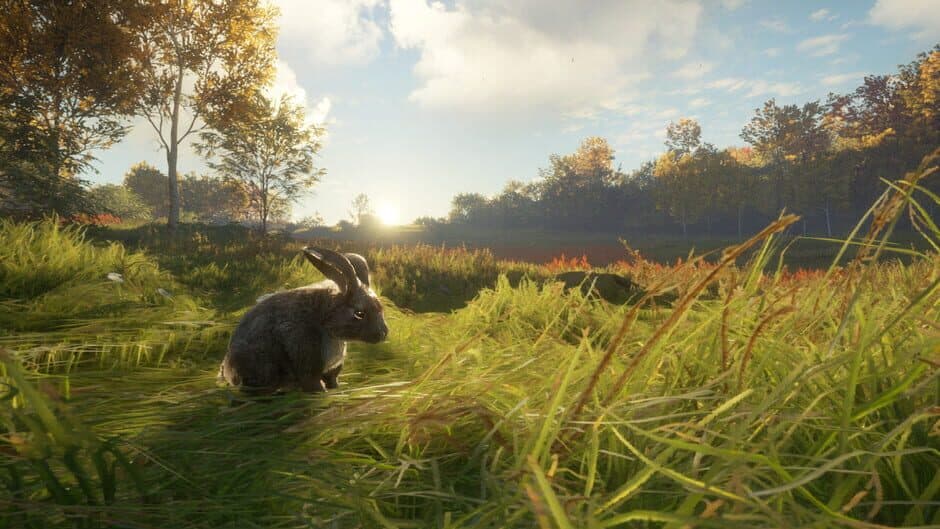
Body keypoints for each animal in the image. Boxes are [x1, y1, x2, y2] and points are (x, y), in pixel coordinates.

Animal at [219, 247, 389, 394]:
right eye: (359, 313)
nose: (383, 333)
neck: (325, 319)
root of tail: (228, 368)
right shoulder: (308, 361)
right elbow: (313, 384)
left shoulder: (331, 372)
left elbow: (332, 380)